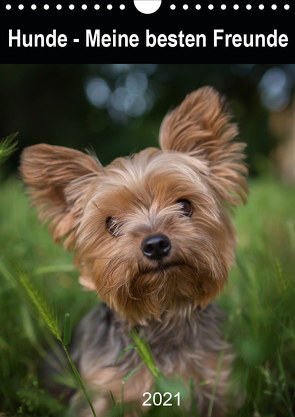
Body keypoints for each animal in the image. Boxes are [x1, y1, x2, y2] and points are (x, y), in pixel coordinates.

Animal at [19, 86, 249, 414]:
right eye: (111, 224)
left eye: (185, 205)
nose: (155, 244)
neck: (163, 314)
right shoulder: (104, 392)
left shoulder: (215, 381)